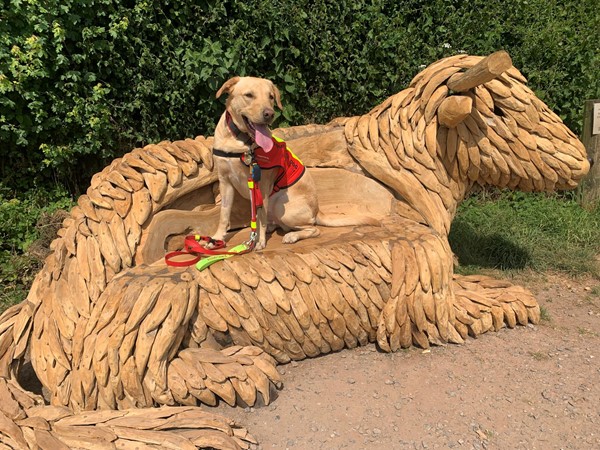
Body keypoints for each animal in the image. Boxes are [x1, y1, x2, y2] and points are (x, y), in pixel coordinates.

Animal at [211, 76, 376, 250]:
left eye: (270, 97)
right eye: (249, 95)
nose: (269, 114)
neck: (240, 141)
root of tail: (317, 210)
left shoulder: (262, 186)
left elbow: (260, 218)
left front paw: (260, 241)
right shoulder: (225, 181)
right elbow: (224, 214)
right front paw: (217, 238)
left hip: (282, 207)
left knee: (312, 229)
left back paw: (291, 236)